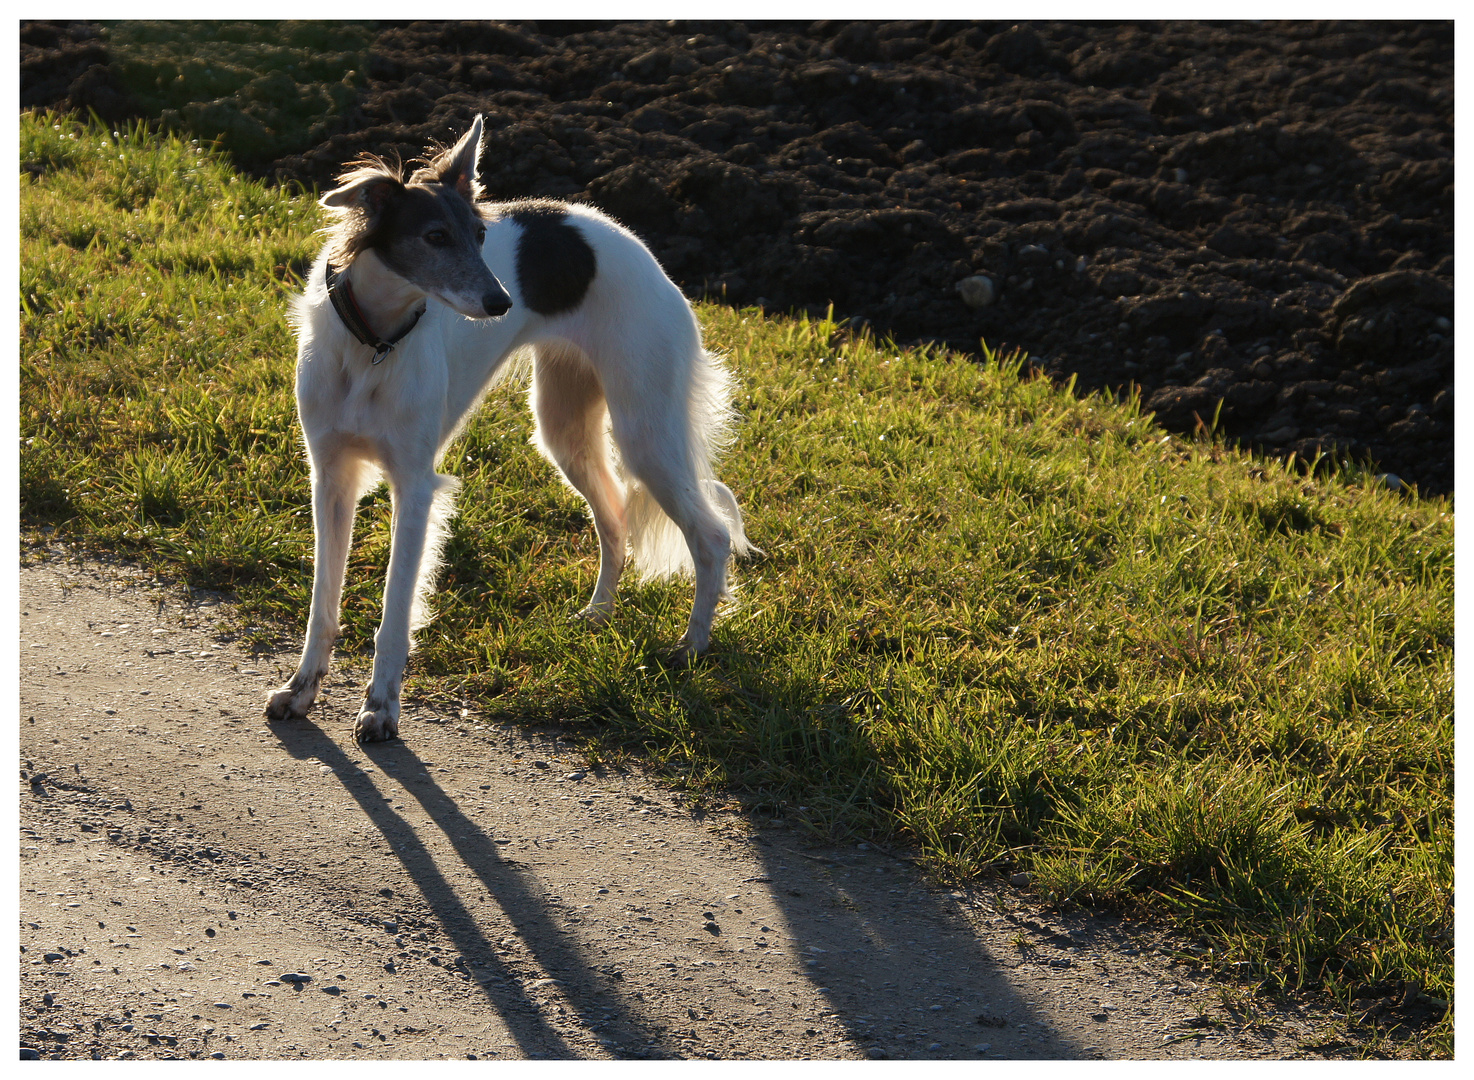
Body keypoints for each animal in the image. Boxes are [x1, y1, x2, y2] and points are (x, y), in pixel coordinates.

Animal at [259, 115, 754, 742]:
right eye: (435, 236)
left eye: (479, 233)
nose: (502, 301)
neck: (373, 341)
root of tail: (639, 248)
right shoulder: (330, 476)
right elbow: (323, 600)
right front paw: (301, 690)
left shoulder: (416, 485)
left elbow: (395, 611)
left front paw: (381, 707)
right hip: (563, 425)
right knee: (615, 519)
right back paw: (598, 615)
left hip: (645, 430)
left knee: (710, 536)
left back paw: (691, 648)